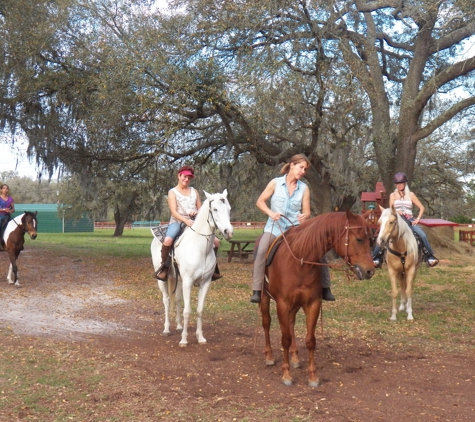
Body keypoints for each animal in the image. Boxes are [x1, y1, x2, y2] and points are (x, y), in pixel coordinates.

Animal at [152, 190, 233, 346]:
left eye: (229, 209)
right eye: (215, 209)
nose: (228, 231)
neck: (199, 248)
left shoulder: (205, 282)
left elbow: (200, 310)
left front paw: (200, 337)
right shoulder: (188, 282)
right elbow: (187, 310)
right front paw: (184, 340)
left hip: (178, 279)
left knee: (177, 299)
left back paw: (178, 326)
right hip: (162, 280)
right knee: (166, 300)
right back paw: (166, 329)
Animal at [260, 209, 376, 388]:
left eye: (370, 239)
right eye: (359, 239)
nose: (370, 271)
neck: (300, 261)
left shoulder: (312, 304)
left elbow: (310, 340)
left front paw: (313, 376)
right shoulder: (282, 304)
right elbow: (285, 338)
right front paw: (286, 374)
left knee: (291, 323)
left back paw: (295, 357)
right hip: (264, 298)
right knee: (266, 323)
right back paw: (269, 356)